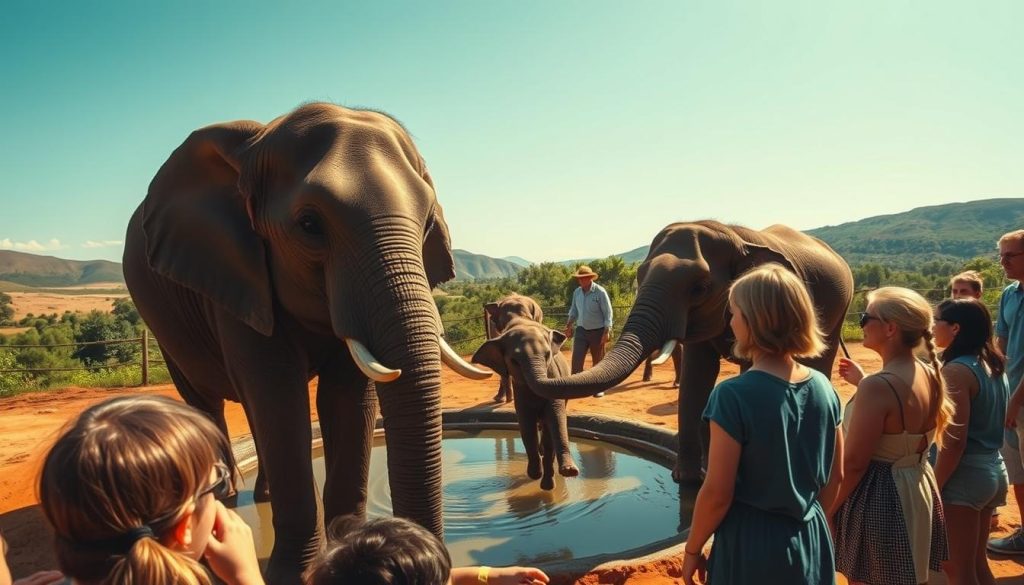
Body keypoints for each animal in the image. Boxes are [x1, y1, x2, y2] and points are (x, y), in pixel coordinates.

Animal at [122, 103, 490, 583]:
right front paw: (296, 572)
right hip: (163, 320)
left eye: (429, 222)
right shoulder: (235, 272)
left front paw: (346, 544)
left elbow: (348, 396)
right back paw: (223, 498)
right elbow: (278, 393)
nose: (432, 562)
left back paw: (259, 494)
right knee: (206, 400)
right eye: (310, 225)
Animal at [471, 307, 579, 490]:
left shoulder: (553, 376)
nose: (572, 470)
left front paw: (549, 484)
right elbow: (526, 425)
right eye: (514, 361)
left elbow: (553, 421)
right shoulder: (519, 389)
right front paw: (535, 474)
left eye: (548, 355)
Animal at [526, 220, 853, 483]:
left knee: (820, 358)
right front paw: (686, 478)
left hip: (839, 306)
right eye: (640, 276)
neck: (733, 234)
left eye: (700, 289)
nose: (553, 340)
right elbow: (697, 375)